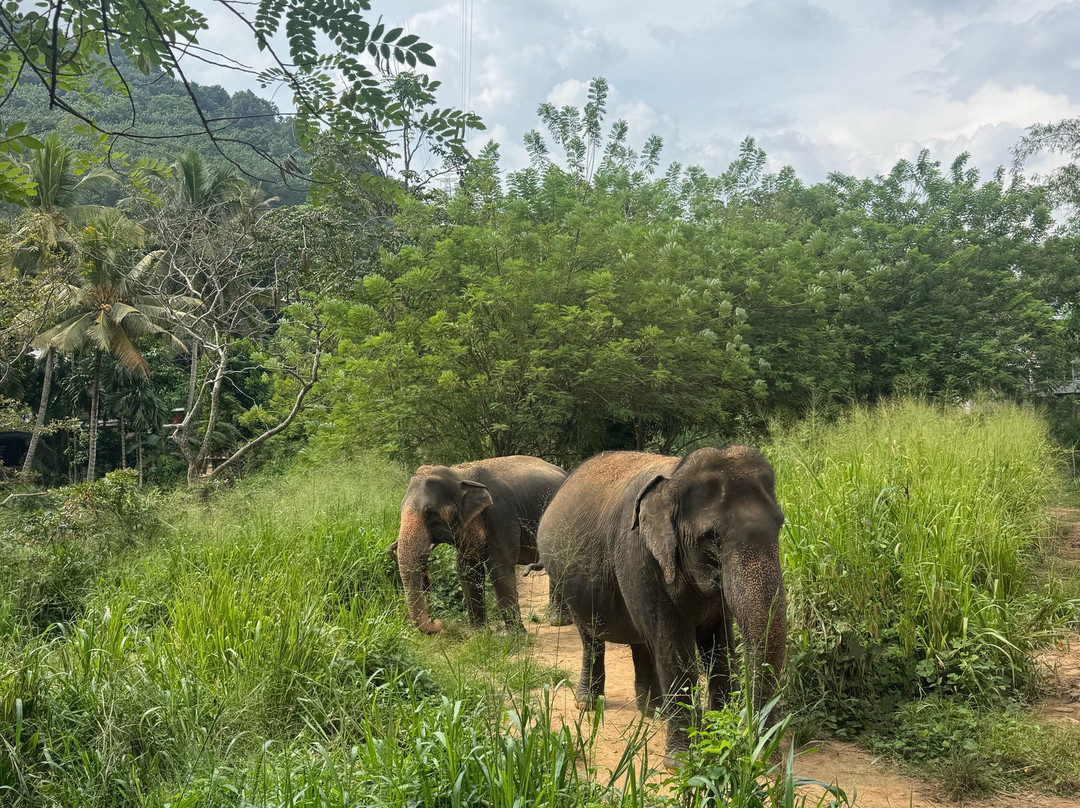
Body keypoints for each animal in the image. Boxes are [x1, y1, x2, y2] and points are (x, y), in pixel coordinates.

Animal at [393, 455, 569, 634]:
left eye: (430, 513)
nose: (437, 622)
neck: (460, 475)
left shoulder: (501, 516)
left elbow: (500, 567)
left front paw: (515, 635)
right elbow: (466, 570)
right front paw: (479, 633)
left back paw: (559, 621)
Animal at [536, 446, 787, 768]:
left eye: (780, 525)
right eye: (712, 538)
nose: (769, 761)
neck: (674, 479)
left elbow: (720, 650)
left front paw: (718, 740)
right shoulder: (639, 556)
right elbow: (674, 649)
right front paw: (682, 762)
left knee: (641, 640)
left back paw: (653, 711)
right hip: (566, 581)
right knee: (593, 638)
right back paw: (589, 704)